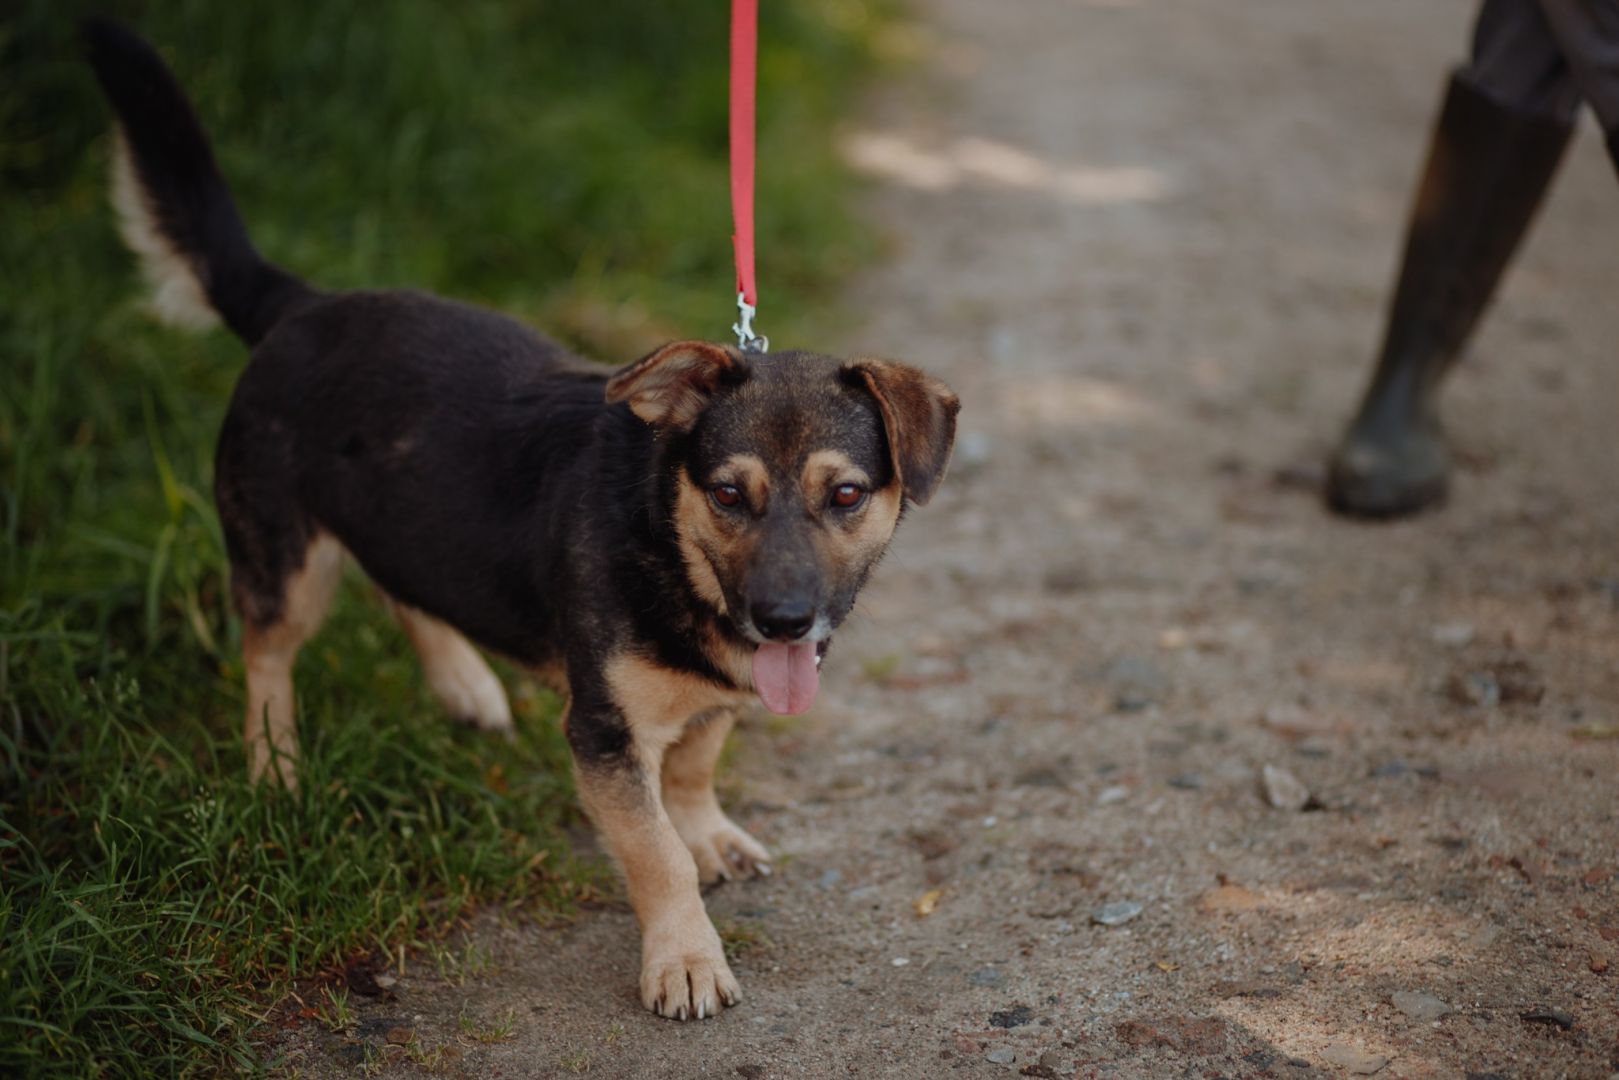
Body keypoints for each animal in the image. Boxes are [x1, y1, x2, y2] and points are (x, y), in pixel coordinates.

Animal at [85, 20, 958, 1020]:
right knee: (268, 654)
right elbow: (653, 853)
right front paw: (684, 957)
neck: (667, 543)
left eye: (845, 495)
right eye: (728, 494)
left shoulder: (717, 699)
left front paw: (707, 832)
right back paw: (277, 771)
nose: (781, 621)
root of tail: (301, 308)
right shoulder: (602, 733)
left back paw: (464, 685)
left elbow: (694, 768)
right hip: (283, 559)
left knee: (403, 588)